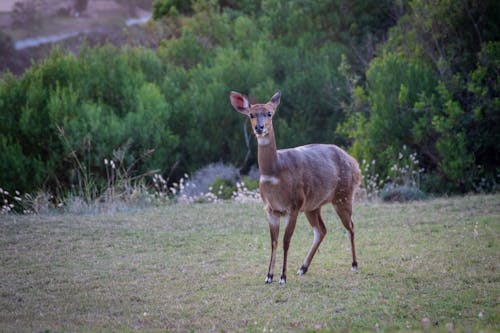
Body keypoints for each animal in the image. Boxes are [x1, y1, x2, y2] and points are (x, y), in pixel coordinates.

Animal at [229, 90, 362, 282]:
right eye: (251, 115)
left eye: (269, 113)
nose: (259, 128)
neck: (274, 173)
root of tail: (355, 164)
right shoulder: (271, 209)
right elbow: (273, 242)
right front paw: (268, 277)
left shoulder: (294, 205)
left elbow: (286, 241)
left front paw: (283, 278)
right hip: (313, 206)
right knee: (321, 230)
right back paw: (302, 268)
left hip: (343, 196)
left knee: (350, 225)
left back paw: (354, 265)